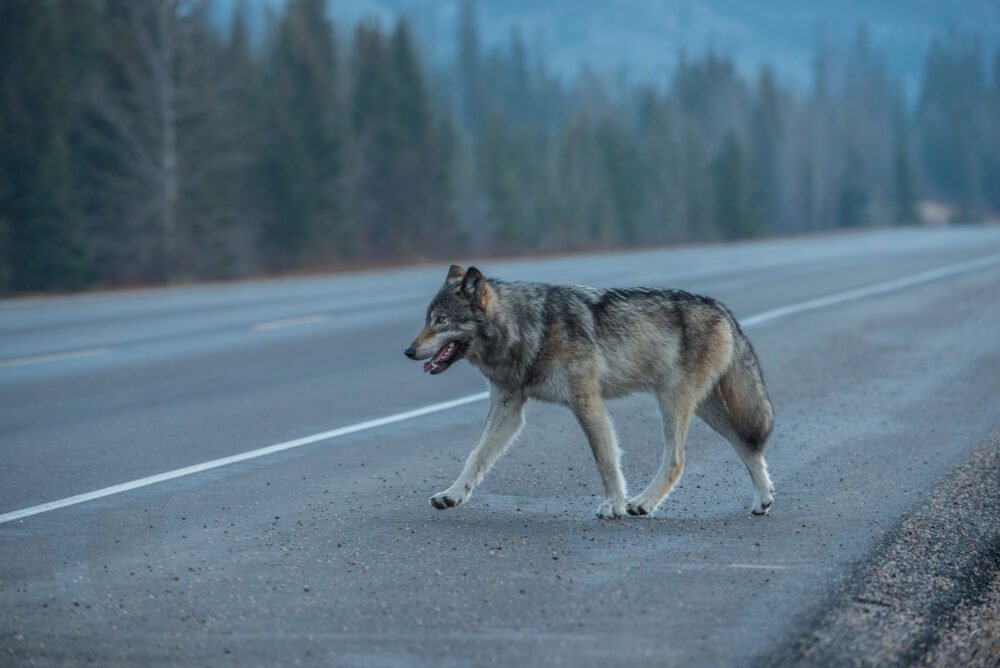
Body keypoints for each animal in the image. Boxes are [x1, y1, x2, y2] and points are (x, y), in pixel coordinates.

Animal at [404, 265, 775, 519]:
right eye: (427, 319)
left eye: (440, 321)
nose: (408, 351)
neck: (527, 328)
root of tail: (723, 310)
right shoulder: (508, 408)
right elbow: (476, 456)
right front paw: (452, 495)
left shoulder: (586, 401)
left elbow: (605, 458)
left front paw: (614, 505)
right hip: (705, 409)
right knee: (747, 445)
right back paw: (763, 499)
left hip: (673, 402)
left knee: (677, 460)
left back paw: (642, 503)